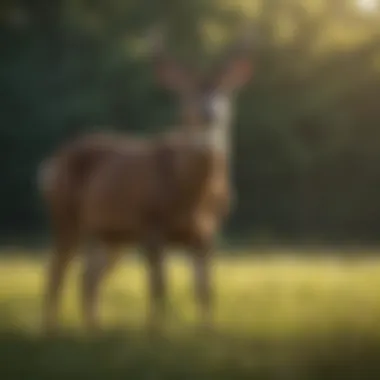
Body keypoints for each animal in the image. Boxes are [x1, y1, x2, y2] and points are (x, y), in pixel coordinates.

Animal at [38, 29, 254, 332]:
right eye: (186, 93)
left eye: (224, 91)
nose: (208, 112)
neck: (191, 196)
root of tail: (51, 162)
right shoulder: (150, 221)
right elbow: (159, 287)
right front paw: (156, 331)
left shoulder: (208, 230)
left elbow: (205, 290)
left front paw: (207, 330)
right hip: (64, 214)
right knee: (57, 271)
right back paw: (51, 329)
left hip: (110, 234)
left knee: (88, 276)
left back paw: (94, 327)